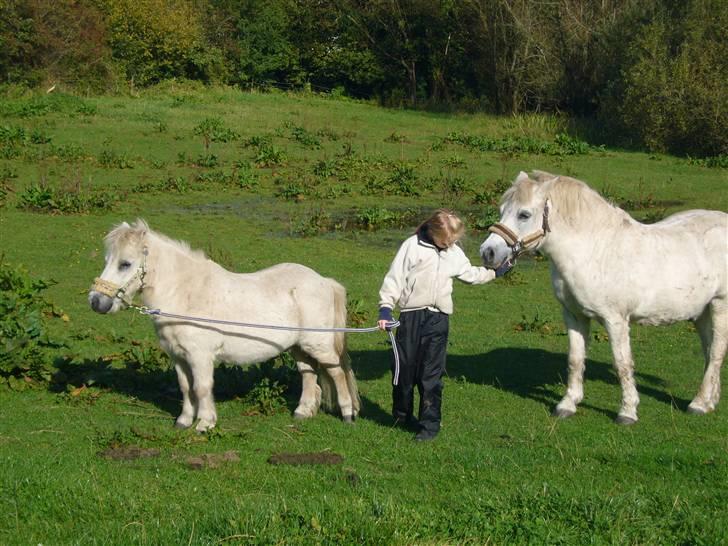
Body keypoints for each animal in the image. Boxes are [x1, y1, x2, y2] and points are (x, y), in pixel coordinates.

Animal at [89, 218, 360, 430]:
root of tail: (324, 281)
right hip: (299, 347)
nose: (96, 302)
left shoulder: (200, 356)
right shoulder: (178, 356)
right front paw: (184, 421)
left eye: (125, 264)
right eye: (107, 260)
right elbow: (185, 387)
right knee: (308, 373)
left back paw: (347, 413)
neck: (186, 293)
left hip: (319, 345)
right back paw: (302, 412)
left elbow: (201, 387)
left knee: (337, 373)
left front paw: (204, 423)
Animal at [480, 170, 724, 420]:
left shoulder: (615, 320)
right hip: (701, 311)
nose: (487, 253)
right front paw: (567, 404)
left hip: (719, 305)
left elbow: (622, 363)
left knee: (716, 351)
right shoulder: (575, 316)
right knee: (709, 351)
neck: (594, 250)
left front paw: (627, 411)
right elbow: (575, 359)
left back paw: (699, 404)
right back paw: (710, 400)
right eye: (502, 210)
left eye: (524, 214)